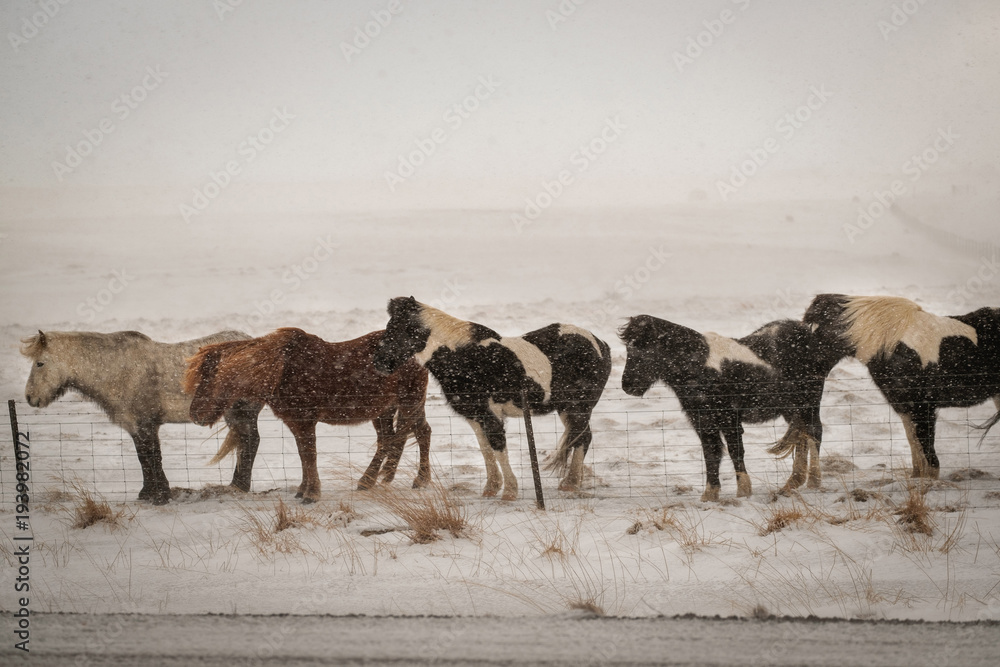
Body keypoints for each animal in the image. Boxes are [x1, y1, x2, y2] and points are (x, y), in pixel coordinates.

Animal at [21, 330, 263, 505]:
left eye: (40, 363)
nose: (30, 397)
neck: (118, 370)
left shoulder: (146, 424)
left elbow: (153, 456)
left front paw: (161, 495)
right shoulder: (135, 426)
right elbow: (143, 457)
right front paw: (147, 493)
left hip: (242, 413)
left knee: (250, 442)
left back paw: (239, 486)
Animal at [183, 327, 432, 503]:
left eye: (209, 379)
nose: (195, 415)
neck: (280, 370)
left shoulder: (305, 421)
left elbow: (310, 454)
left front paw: (312, 494)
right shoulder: (296, 423)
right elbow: (303, 455)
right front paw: (303, 490)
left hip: (409, 402)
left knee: (411, 436)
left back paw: (418, 480)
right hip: (386, 410)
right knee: (398, 438)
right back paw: (371, 481)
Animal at [371, 297, 612, 500]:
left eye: (400, 330)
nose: (378, 363)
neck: (466, 358)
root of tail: (600, 343)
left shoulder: (492, 414)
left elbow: (498, 447)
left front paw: (510, 491)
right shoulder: (474, 417)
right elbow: (486, 449)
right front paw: (491, 487)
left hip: (579, 407)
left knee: (581, 438)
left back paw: (571, 483)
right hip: (567, 409)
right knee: (583, 436)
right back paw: (571, 482)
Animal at [619, 315, 844, 501]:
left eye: (645, 349)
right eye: (629, 349)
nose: (628, 386)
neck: (699, 366)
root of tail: (809, 337)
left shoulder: (729, 417)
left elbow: (735, 450)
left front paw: (743, 492)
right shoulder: (702, 420)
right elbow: (711, 452)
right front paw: (710, 495)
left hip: (808, 403)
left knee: (814, 432)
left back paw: (813, 481)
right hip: (792, 409)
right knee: (802, 435)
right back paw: (792, 484)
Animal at [803, 294, 1000, 479]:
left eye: (813, 330)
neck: (893, 345)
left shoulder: (923, 407)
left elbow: (927, 449)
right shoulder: (904, 406)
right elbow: (914, 444)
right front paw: (917, 478)